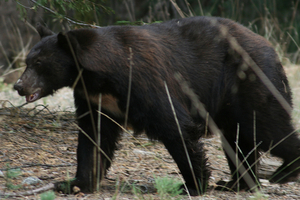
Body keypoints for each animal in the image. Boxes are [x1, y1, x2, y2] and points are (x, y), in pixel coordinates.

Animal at [13, 16, 300, 195]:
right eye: (27, 61)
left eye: (39, 63)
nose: (18, 86)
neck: (98, 75)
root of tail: (270, 47)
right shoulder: (94, 99)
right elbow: (93, 137)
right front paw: (74, 183)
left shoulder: (144, 81)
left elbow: (174, 125)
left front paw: (192, 185)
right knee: (239, 139)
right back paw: (238, 183)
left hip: (250, 81)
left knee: (267, 127)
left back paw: (283, 171)